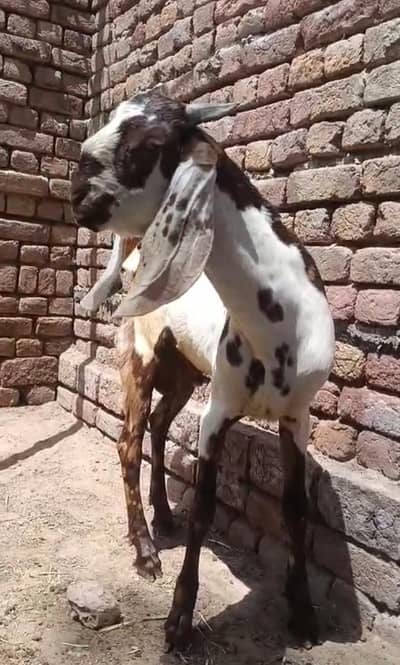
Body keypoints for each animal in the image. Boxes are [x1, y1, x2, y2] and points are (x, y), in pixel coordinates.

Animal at [71, 90, 335, 650]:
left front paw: (303, 613)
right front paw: (178, 620)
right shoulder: (219, 410)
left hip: (185, 372)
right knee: (128, 441)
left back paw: (162, 517)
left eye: (148, 145)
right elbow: (206, 510)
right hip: (140, 356)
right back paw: (145, 551)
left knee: (156, 425)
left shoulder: (297, 416)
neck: (279, 324)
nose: (77, 192)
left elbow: (295, 507)